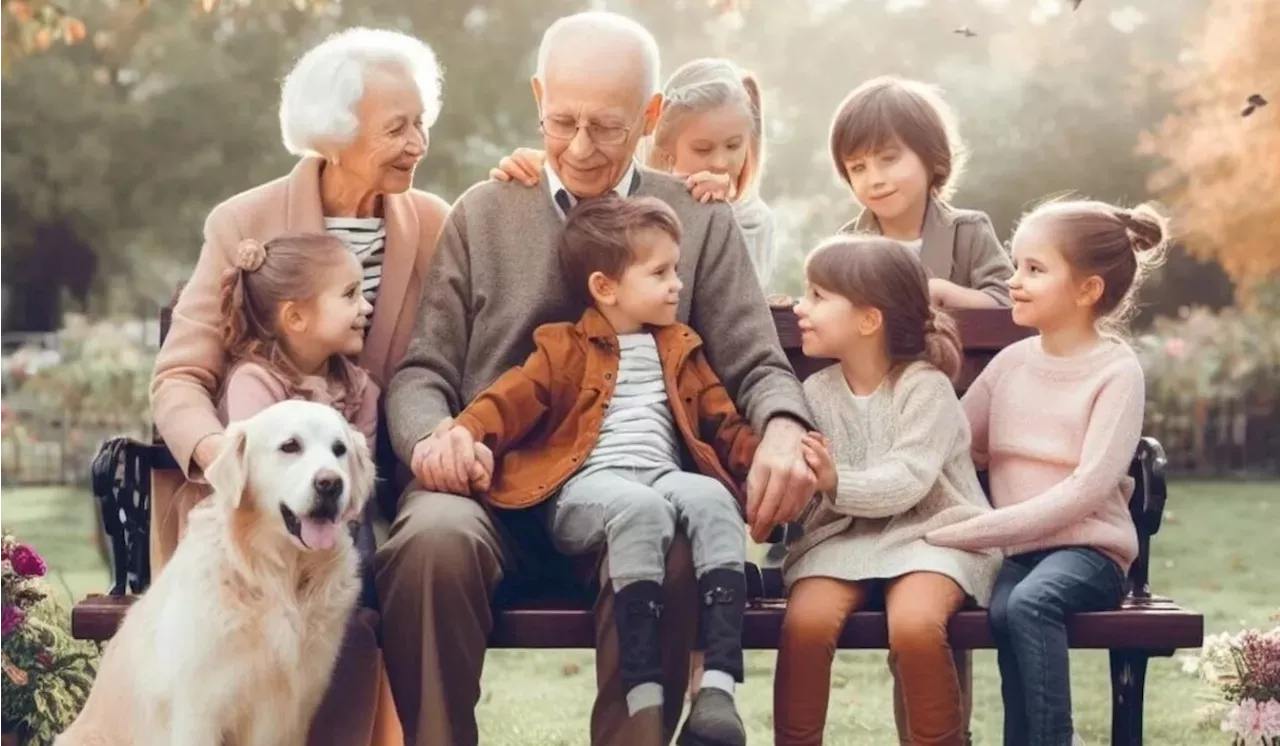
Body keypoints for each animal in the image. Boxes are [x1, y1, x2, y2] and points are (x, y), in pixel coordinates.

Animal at [57, 401, 373, 746]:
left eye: (339, 449)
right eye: (290, 446)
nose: (331, 484)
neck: (275, 576)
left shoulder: (289, 713)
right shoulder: (199, 712)